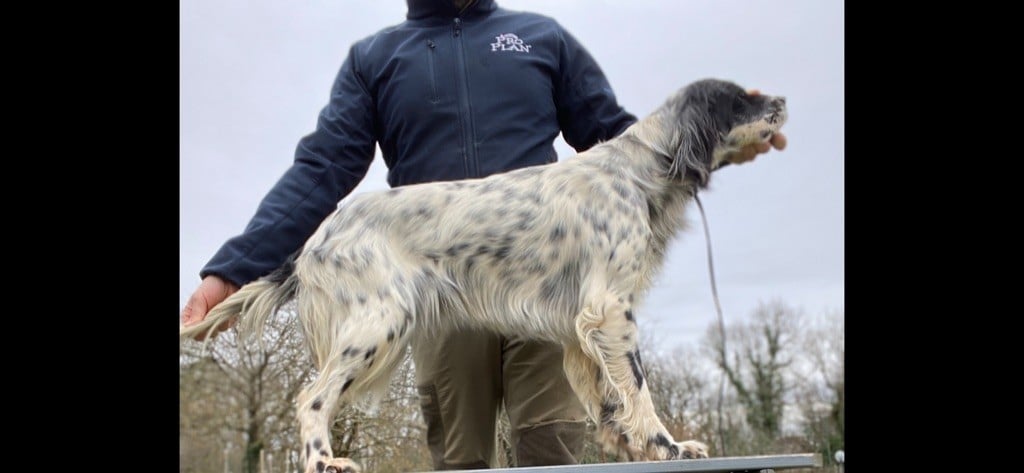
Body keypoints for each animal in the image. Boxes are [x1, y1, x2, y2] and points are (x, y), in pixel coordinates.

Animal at [184, 78, 786, 473]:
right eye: (741, 97)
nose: (782, 100)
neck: (640, 171)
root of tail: (315, 239)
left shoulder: (582, 326)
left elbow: (607, 399)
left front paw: (627, 445)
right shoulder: (611, 310)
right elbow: (638, 391)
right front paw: (668, 447)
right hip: (377, 323)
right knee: (311, 397)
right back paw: (324, 462)